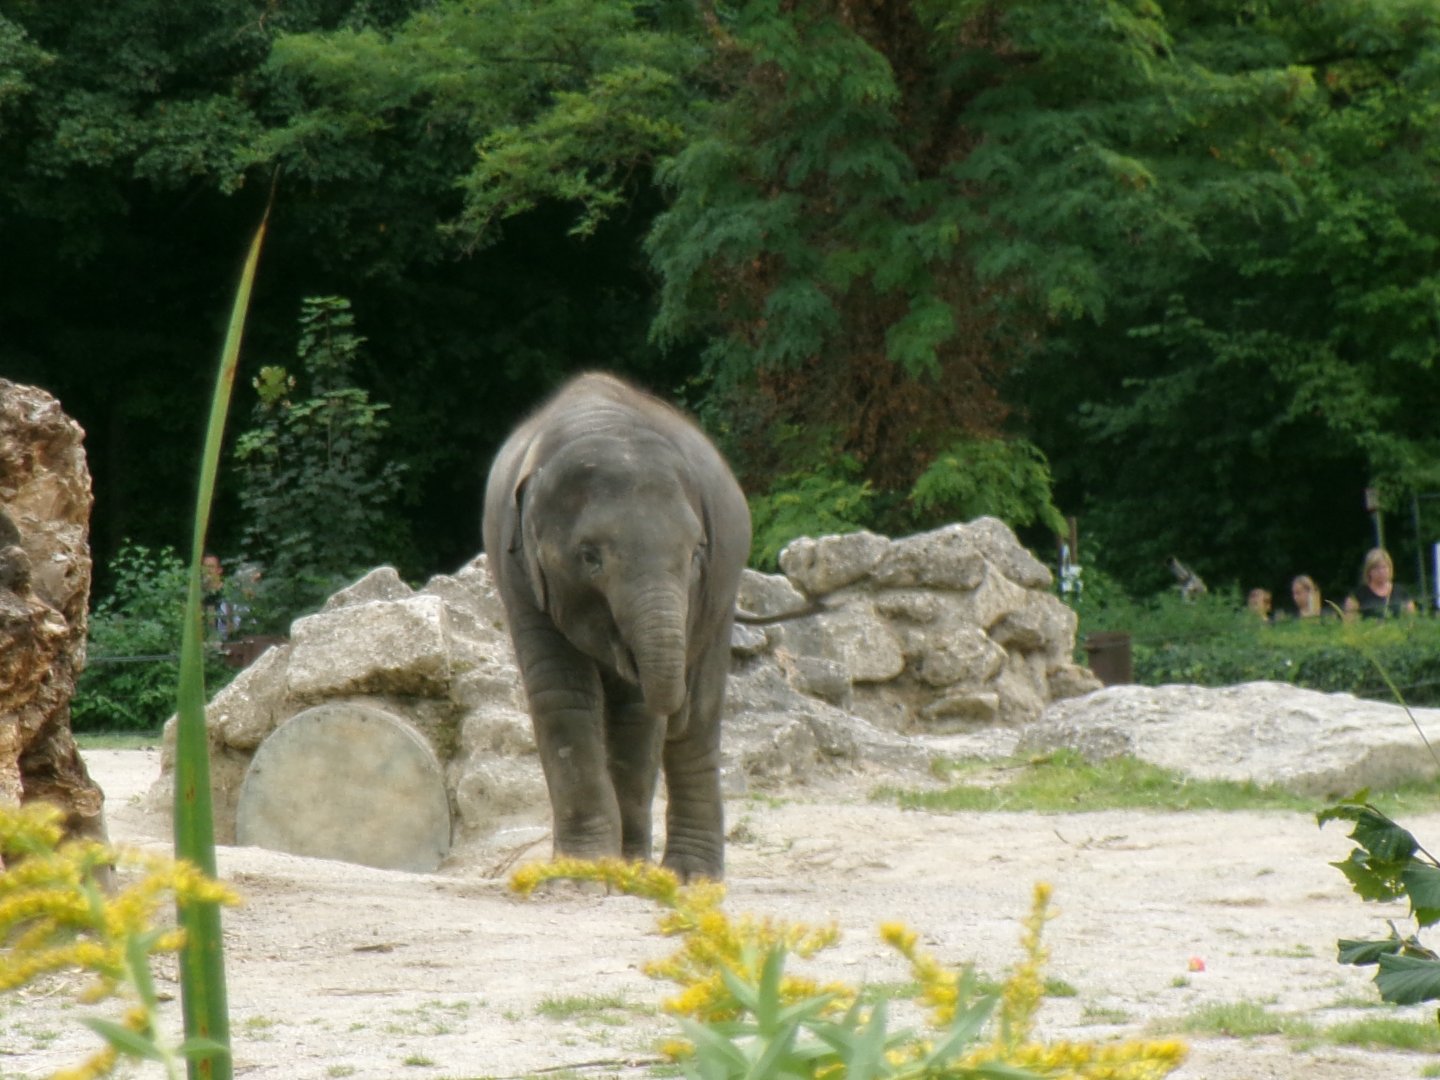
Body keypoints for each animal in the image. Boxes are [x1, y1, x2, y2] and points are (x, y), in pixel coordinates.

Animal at [482, 372, 751, 880]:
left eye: (696, 554)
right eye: (591, 557)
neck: (601, 423)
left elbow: (637, 714)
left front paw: (626, 871)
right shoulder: (520, 575)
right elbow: (562, 693)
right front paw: (584, 872)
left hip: (722, 599)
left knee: (698, 722)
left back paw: (689, 877)